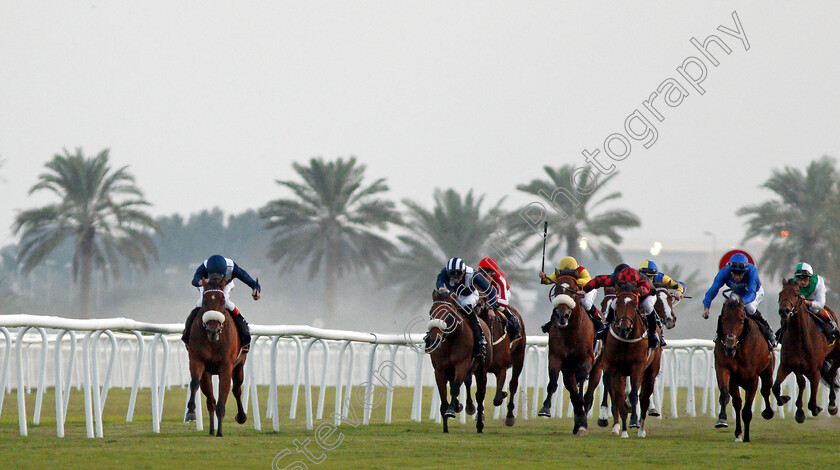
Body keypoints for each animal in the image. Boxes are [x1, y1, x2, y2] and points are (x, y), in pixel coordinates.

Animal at [185, 274, 248, 438]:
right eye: (205, 301)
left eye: (223, 301)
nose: (213, 330)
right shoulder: (197, 361)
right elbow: (194, 383)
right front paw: (191, 412)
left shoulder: (226, 367)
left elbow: (223, 398)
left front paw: (220, 432)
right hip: (208, 374)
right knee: (210, 401)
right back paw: (211, 429)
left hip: (239, 366)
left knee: (236, 390)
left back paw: (241, 416)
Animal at [426, 290, 492, 434]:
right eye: (431, 312)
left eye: (448, 314)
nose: (434, 339)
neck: (450, 340)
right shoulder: (439, 370)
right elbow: (444, 395)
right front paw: (445, 425)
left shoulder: (462, 364)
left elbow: (455, 388)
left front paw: (451, 410)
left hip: (481, 369)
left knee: (480, 395)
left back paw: (479, 424)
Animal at [604, 288, 664, 438]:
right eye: (617, 304)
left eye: (634, 306)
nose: (623, 328)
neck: (626, 341)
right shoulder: (616, 369)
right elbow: (619, 397)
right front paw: (624, 431)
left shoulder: (637, 368)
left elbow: (633, 394)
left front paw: (634, 422)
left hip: (650, 371)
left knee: (644, 397)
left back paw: (641, 429)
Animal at [712, 296, 776, 442]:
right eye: (723, 320)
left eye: (741, 321)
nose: (729, 346)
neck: (739, 349)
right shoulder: (724, 369)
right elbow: (725, 395)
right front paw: (722, 420)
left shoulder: (753, 378)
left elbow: (747, 410)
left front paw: (747, 437)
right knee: (737, 403)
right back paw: (738, 433)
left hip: (767, 371)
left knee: (765, 390)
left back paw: (768, 412)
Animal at [776, 280, 840, 422]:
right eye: (780, 293)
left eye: (796, 294)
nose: (784, 311)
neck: (800, 337)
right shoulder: (789, 365)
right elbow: (777, 387)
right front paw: (791, 404)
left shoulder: (815, 370)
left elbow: (811, 402)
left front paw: (816, 408)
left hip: (836, 352)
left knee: (833, 371)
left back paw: (832, 404)